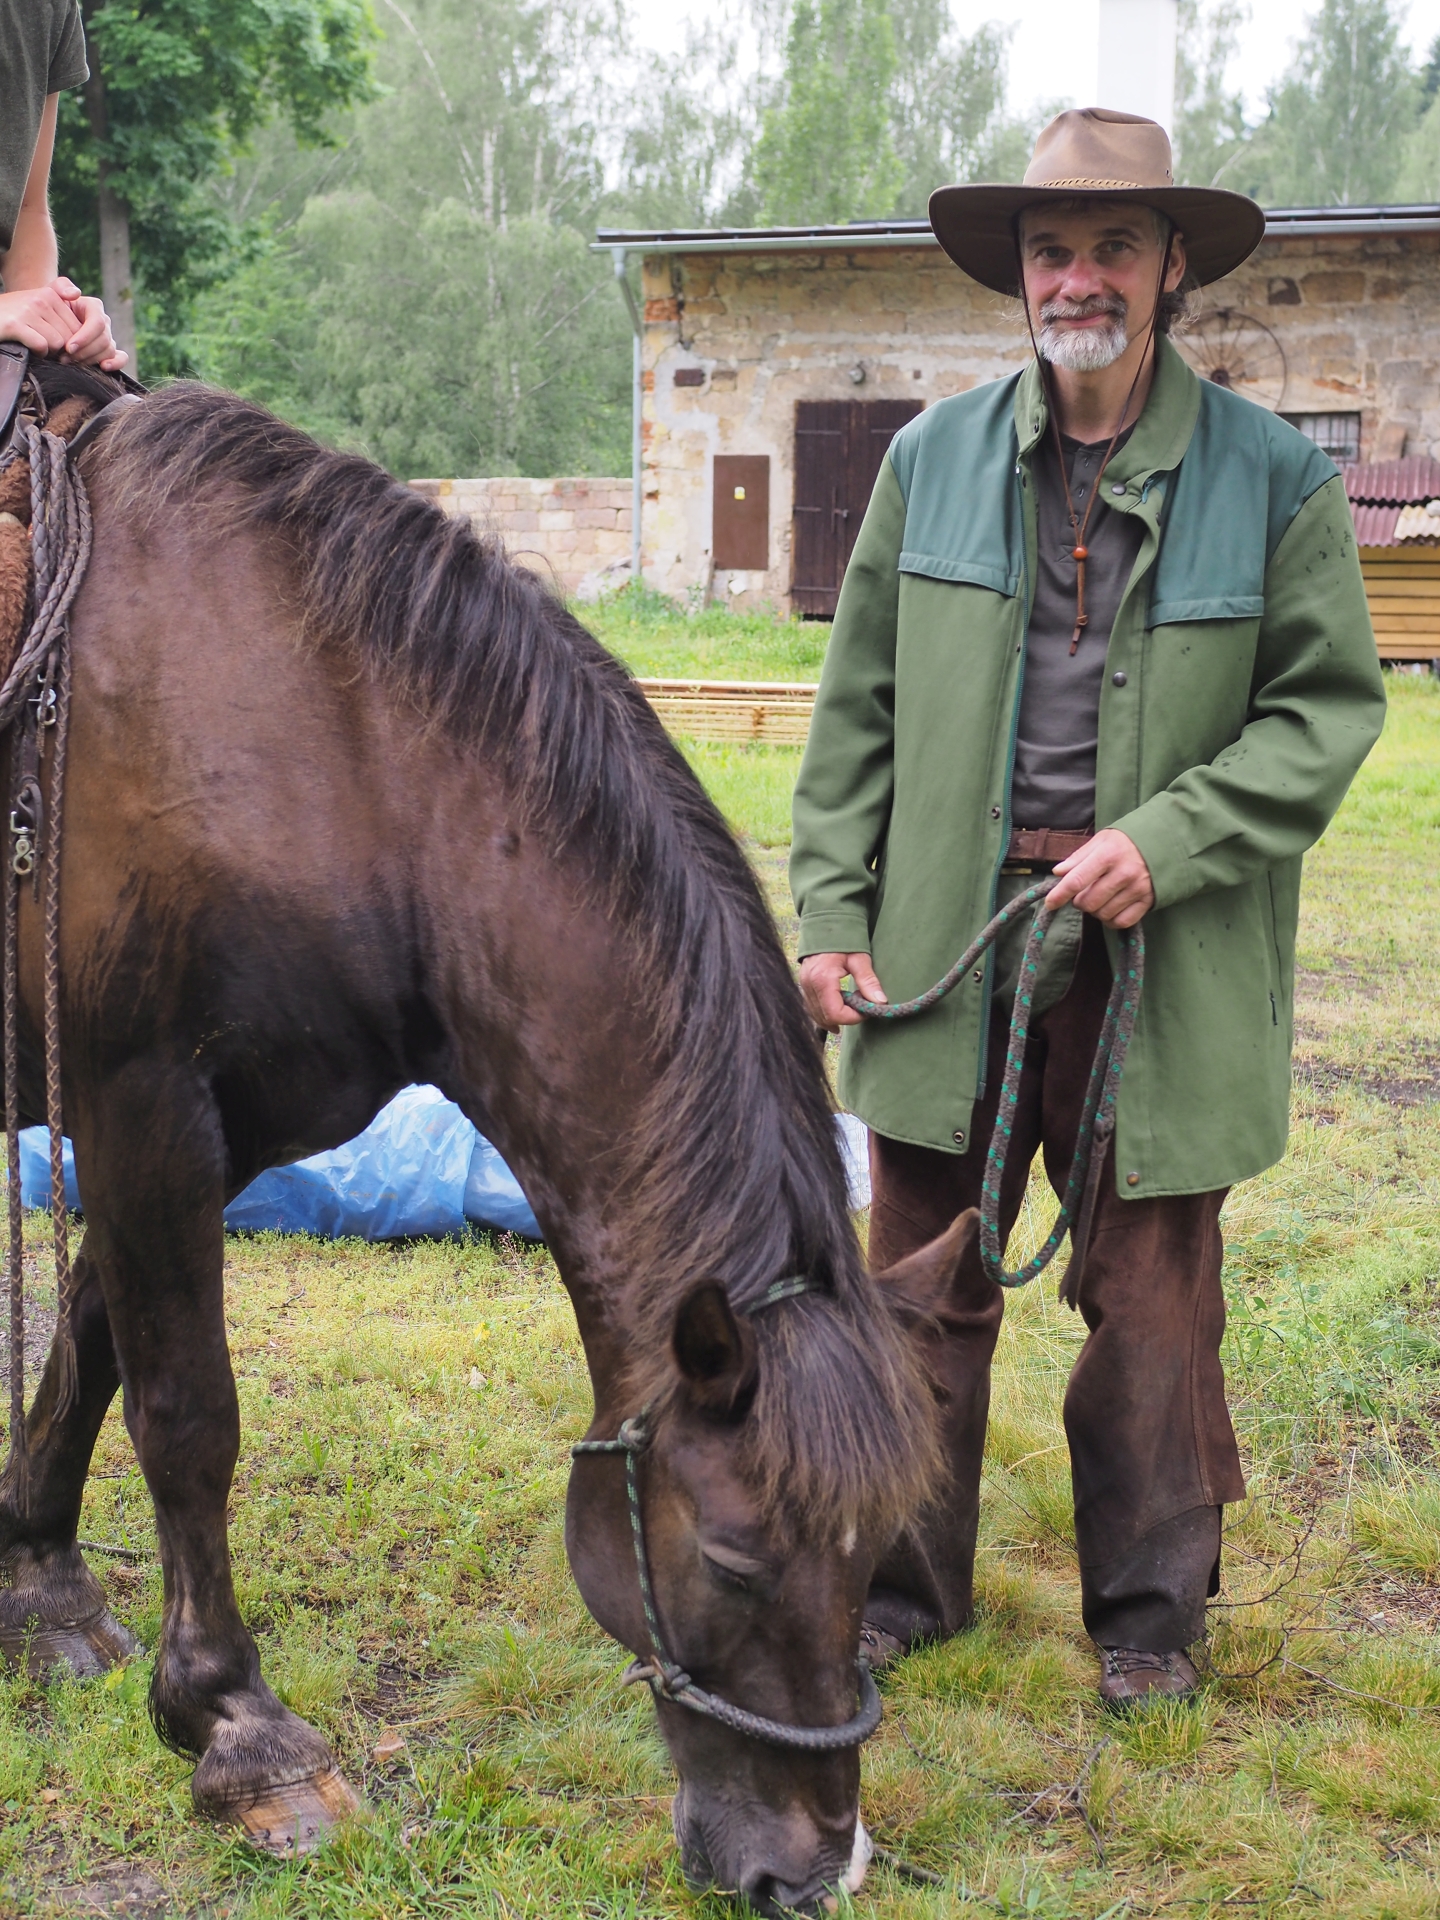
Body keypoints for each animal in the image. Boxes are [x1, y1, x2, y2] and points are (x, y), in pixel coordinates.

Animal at [0, 367, 962, 1915]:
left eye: (879, 1549)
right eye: (738, 1562)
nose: (811, 1872)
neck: (339, 750)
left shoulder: (208, 1123)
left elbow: (91, 1347)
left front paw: (39, 1586)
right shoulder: (146, 1102)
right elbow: (187, 1416)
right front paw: (234, 1727)